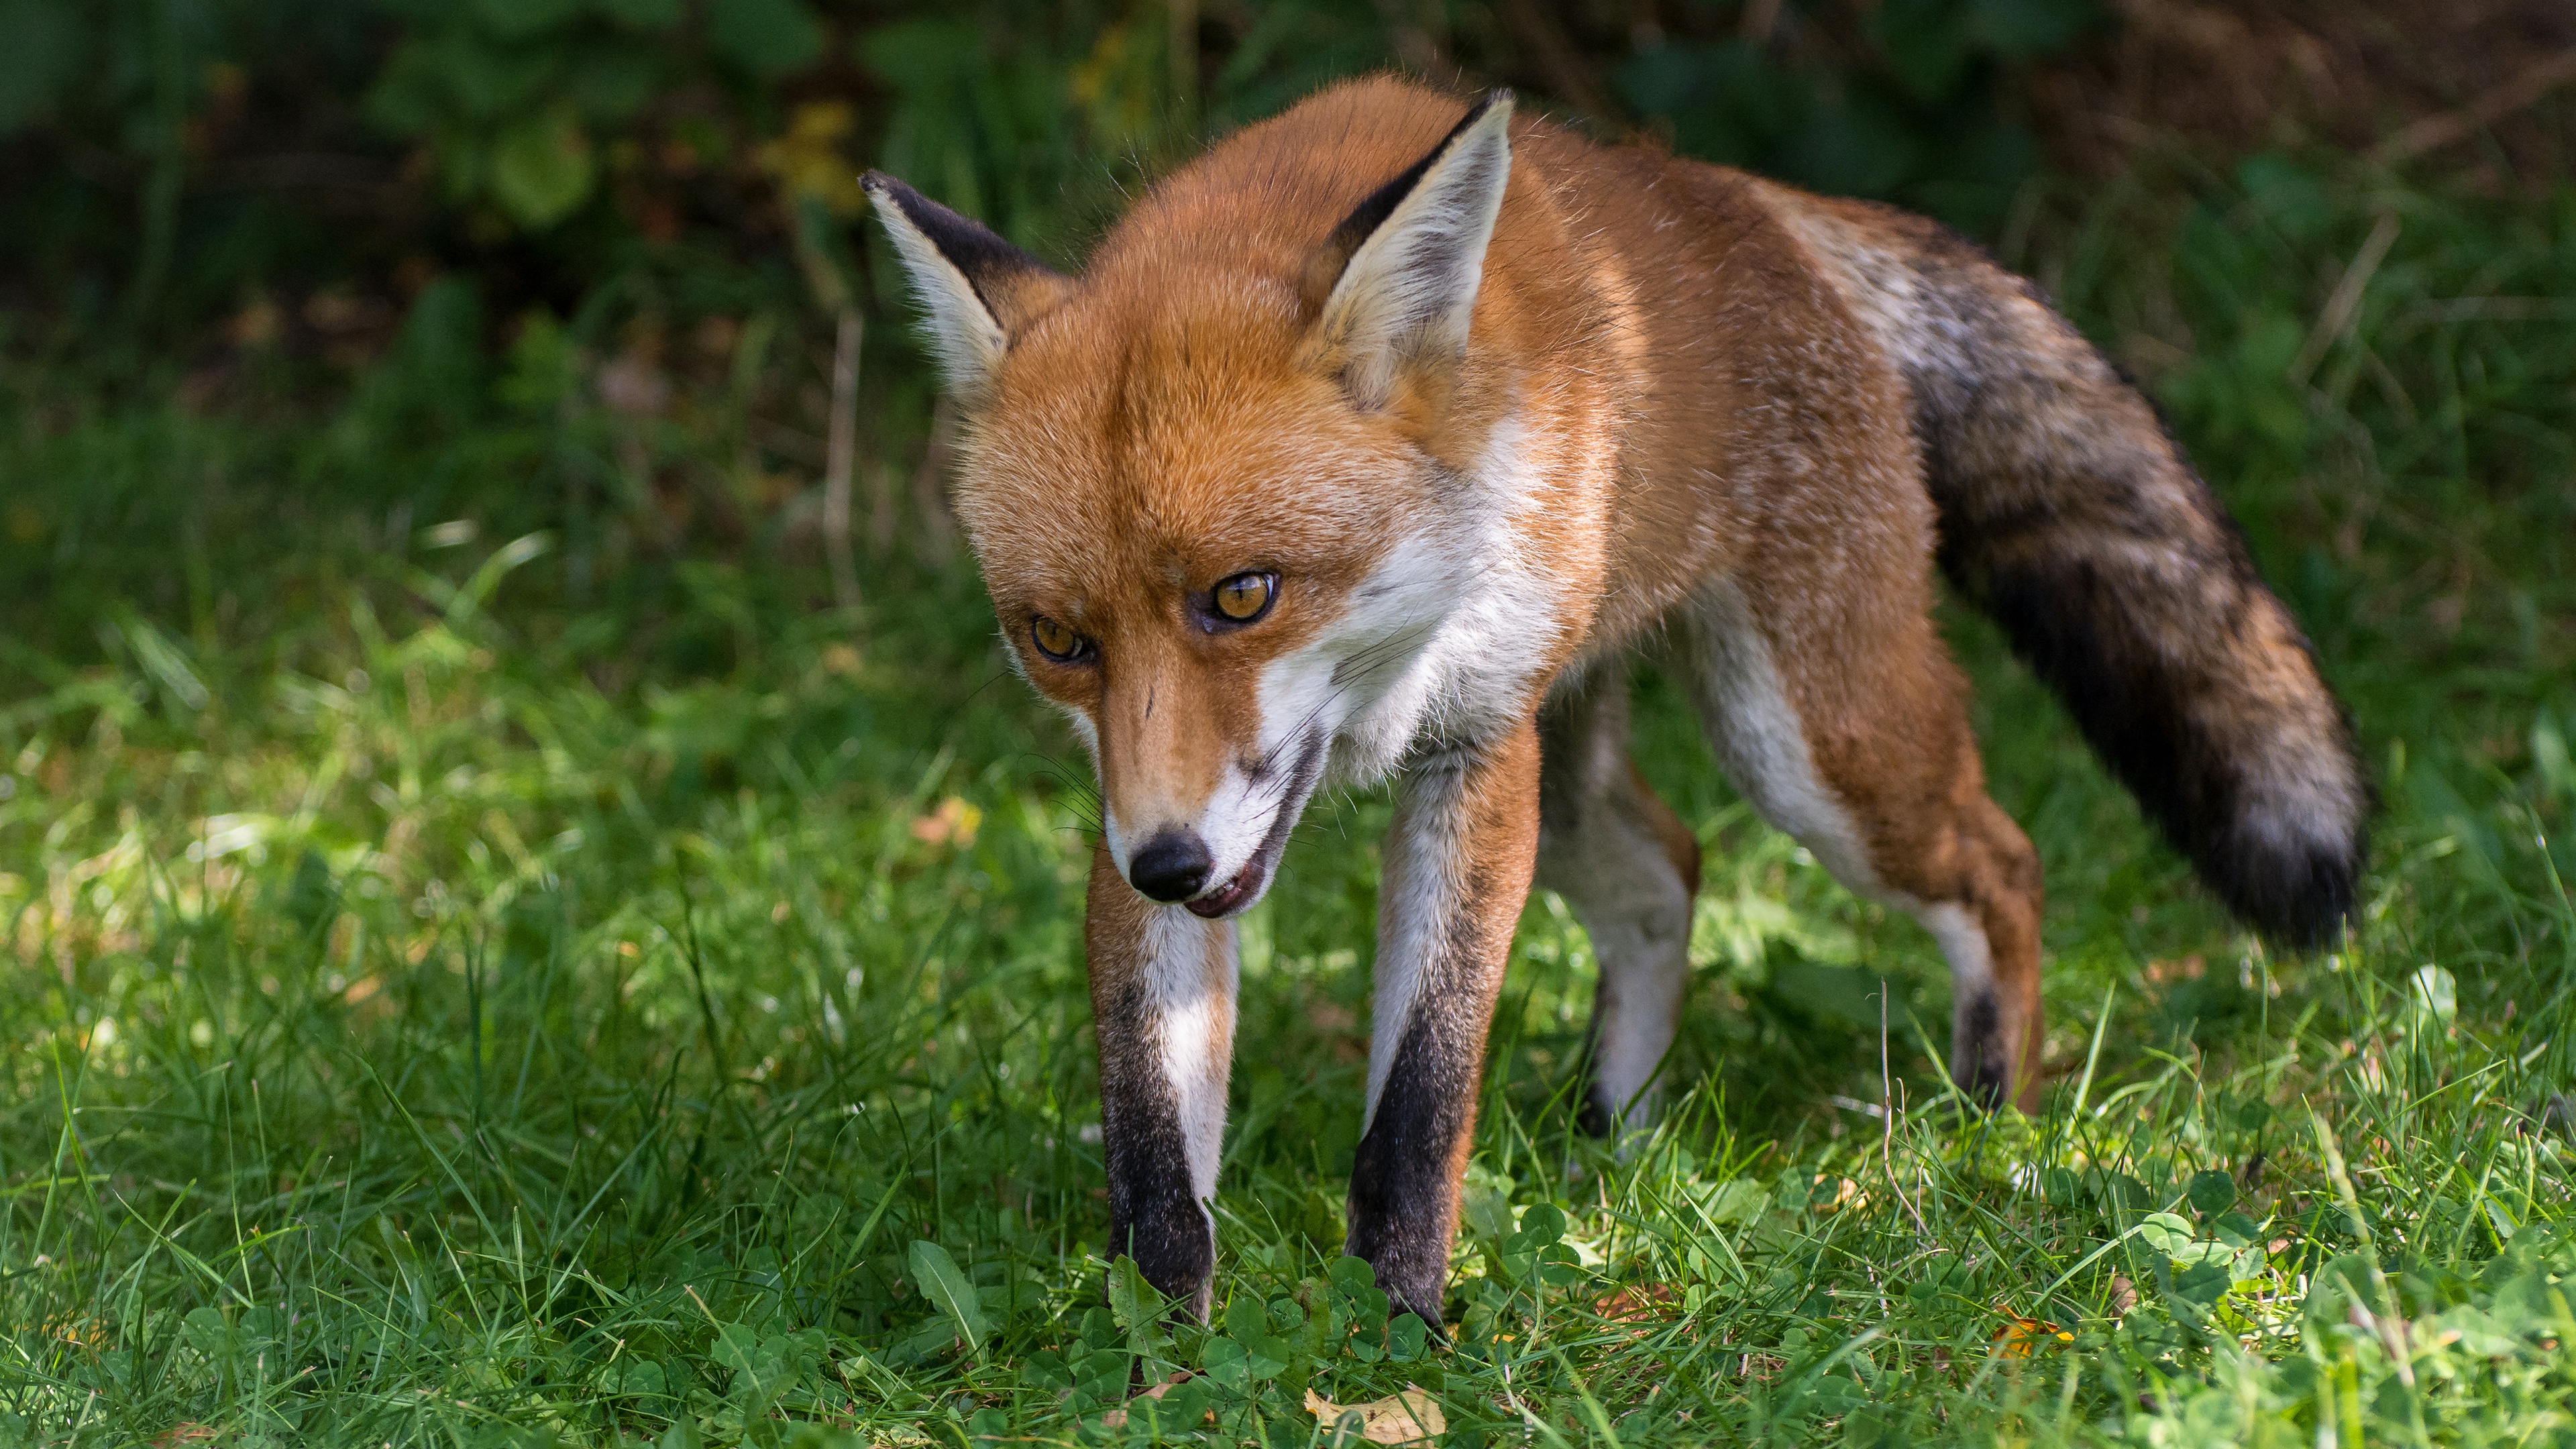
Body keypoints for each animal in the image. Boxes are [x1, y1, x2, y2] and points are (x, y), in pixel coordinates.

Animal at [870, 76, 2369, 1320]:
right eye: (1059, 640)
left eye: (1244, 595)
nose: (1172, 867)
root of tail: (1736, 199)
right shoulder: (1121, 793)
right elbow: (1150, 1128)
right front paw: (1158, 1351)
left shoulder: (1477, 751)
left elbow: (1421, 1097)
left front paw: (1399, 1327)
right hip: (1591, 783)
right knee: (1671, 872)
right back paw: (1616, 1143)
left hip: (1811, 753)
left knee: (2003, 862)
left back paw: (1988, 1120)